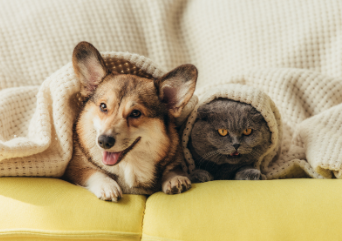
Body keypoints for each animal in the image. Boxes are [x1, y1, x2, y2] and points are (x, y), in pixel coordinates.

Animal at [64, 41, 198, 201]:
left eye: (135, 113)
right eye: (103, 106)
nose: (103, 141)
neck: (129, 164)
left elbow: (173, 169)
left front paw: (175, 178)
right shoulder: (75, 168)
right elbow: (94, 172)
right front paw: (107, 186)